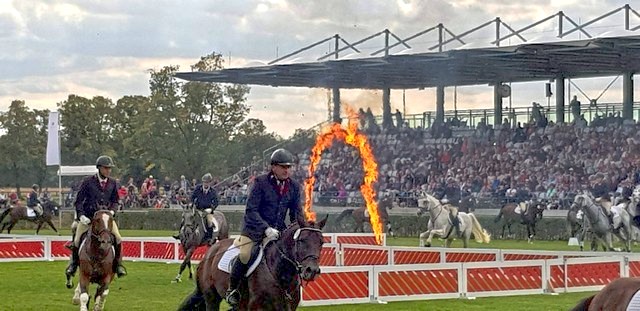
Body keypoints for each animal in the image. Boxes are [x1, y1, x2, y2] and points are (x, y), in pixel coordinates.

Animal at [178, 214, 328, 311]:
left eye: (321, 242)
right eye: (301, 240)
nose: (311, 271)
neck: (280, 273)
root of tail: (208, 254)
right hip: (211, 298)